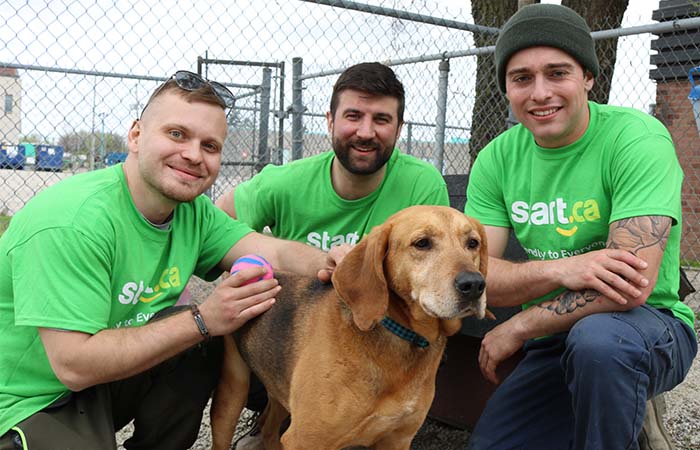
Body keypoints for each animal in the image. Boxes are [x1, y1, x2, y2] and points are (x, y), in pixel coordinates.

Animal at [211, 206, 490, 448]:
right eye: (422, 243)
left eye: (472, 243)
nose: (474, 285)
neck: (402, 337)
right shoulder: (305, 440)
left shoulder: (397, 439)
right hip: (232, 393)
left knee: (270, 429)